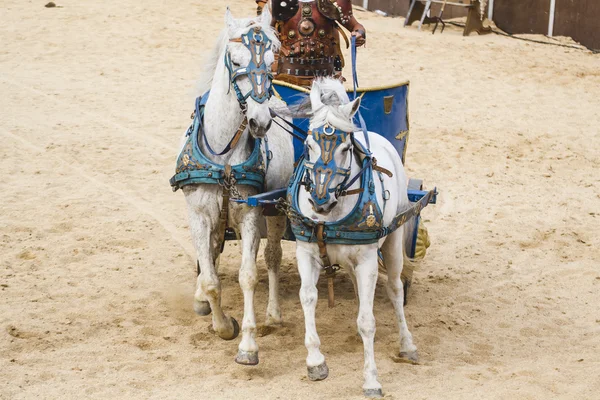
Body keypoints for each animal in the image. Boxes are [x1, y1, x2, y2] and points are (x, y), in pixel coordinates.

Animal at [170, 8, 294, 366]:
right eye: (236, 61)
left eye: (272, 61)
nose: (261, 121)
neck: (223, 156)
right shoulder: (199, 216)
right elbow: (211, 279)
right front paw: (223, 325)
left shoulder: (251, 217)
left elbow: (248, 275)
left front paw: (248, 345)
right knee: (211, 255)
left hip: (276, 212)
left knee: (273, 257)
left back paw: (273, 314)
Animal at [284, 77, 434, 396]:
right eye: (308, 144)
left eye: (344, 147)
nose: (319, 201)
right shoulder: (306, 252)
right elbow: (308, 298)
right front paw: (315, 361)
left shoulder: (367, 259)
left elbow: (368, 320)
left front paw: (371, 379)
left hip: (393, 239)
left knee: (394, 288)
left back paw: (407, 345)